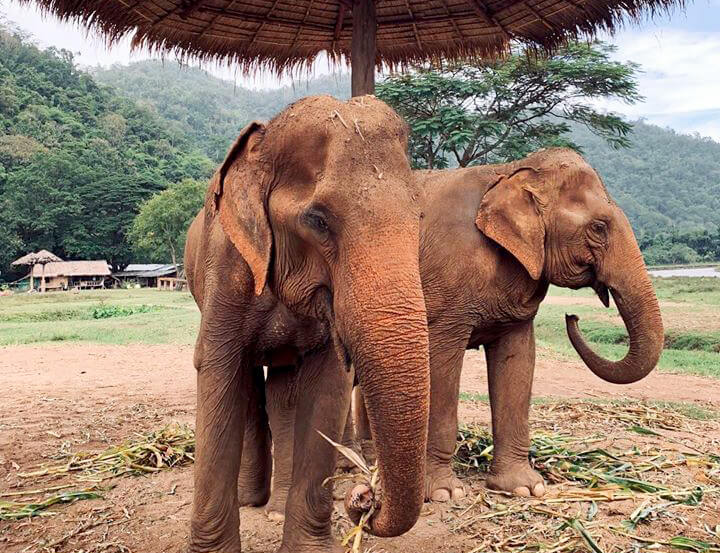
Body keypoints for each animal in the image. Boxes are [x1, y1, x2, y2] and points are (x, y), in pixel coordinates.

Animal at [183, 95, 432, 553]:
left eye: (419, 217)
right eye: (317, 220)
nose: (364, 496)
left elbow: (327, 386)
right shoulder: (224, 268)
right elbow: (217, 373)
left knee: (281, 393)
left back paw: (275, 508)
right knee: (252, 388)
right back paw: (251, 501)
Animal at [242, 147, 664, 520]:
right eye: (599, 227)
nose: (571, 315)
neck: (509, 171)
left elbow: (518, 362)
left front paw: (524, 488)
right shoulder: (446, 292)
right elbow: (443, 363)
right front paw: (444, 493)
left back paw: (370, 459)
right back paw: (351, 466)